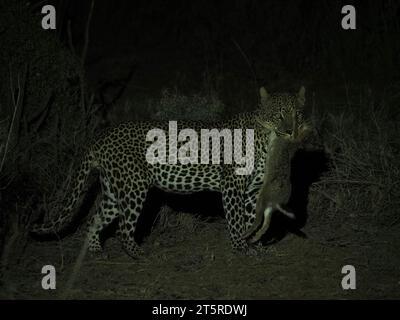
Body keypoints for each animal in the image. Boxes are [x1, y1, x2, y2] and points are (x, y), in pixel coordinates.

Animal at [32, 85, 310, 258]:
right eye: (278, 115)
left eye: (297, 114)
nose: (290, 131)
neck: (265, 138)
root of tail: (101, 136)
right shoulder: (233, 185)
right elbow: (236, 219)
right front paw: (241, 246)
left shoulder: (253, 190)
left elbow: (252, 218)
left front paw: (255, 244)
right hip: (134, 187)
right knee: (123, 229)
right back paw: (139, 254)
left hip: (113, 189)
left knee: (94, 220)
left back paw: (96, 251)